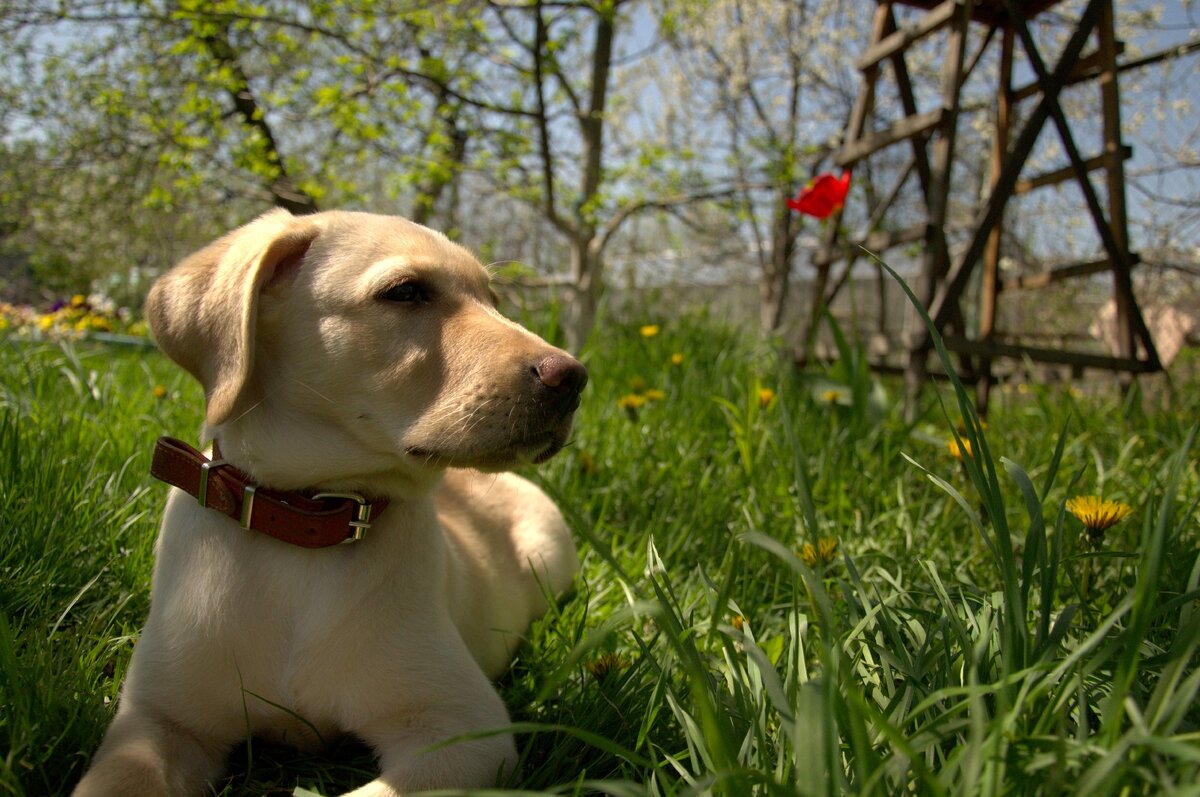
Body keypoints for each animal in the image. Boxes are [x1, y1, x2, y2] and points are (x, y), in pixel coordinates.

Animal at [72, 210, 588, 797]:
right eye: (405, 292)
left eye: (494, 299)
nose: (573, 378)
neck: (310, 516)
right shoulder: (157, 719)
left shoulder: (463, 730)